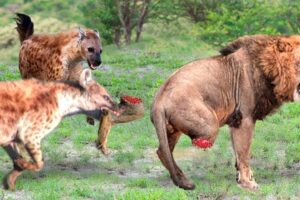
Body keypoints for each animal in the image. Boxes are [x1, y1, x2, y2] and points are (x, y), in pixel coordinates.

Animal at [151, 34, 300, 191]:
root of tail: (159, 98)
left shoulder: (236, 122)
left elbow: (238, 153)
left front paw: (242, 177)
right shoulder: (244, 119)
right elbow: (244, 154)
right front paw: (248, 183)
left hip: (172, 130)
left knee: (162, 151)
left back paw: (182, 181)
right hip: (209, 125)